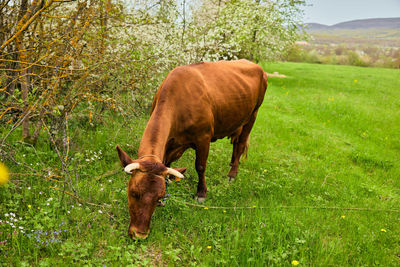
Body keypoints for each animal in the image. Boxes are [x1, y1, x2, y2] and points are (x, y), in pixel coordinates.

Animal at [116, 59, 266, 240]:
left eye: (159, 196)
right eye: (133, 192)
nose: (140, 234)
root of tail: (252, 63)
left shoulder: (204, 137)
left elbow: (200, 166)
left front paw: (201, 193)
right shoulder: (170, 145)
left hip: (253, 114)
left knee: (241, 143)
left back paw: (232, 174)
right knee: (236, 143)